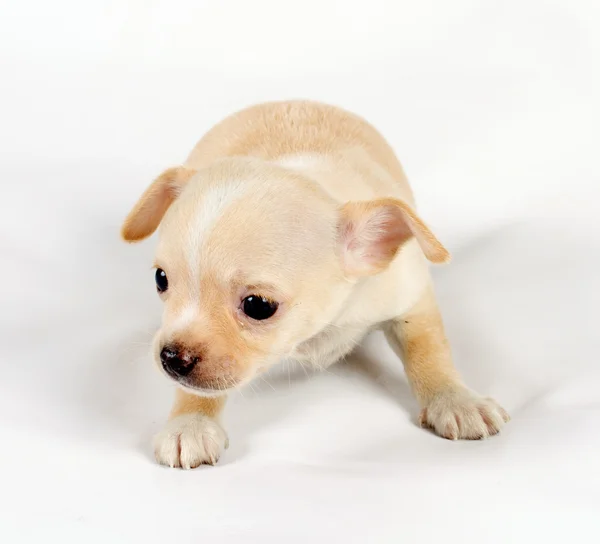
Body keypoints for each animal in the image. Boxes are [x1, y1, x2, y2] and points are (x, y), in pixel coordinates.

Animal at [119, 101, 508, 468]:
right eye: (161, 280)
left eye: (258, 306)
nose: (171, 357)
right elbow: (199, 388)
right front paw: (190, 423)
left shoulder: (410, 298)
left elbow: (428, 350)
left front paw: (455, 399)